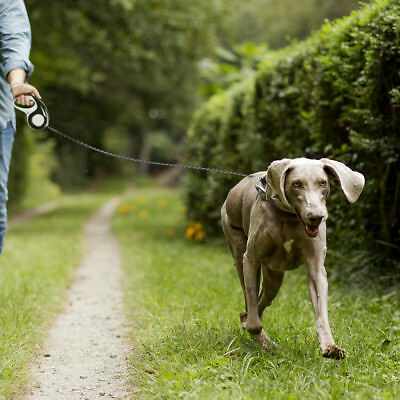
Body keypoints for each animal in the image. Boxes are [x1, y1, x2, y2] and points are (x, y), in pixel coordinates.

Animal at [222, 159, 366, 360]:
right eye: (297, 184)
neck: (289, 217)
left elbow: (321, 312)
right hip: (236, 245)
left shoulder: (316, 267)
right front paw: (267, 343)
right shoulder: (250, 259)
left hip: (274, 278)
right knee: (251, 304)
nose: (316, 217)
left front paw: (330, 346)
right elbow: (254, 321)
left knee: (260, 303)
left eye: (323, 183)